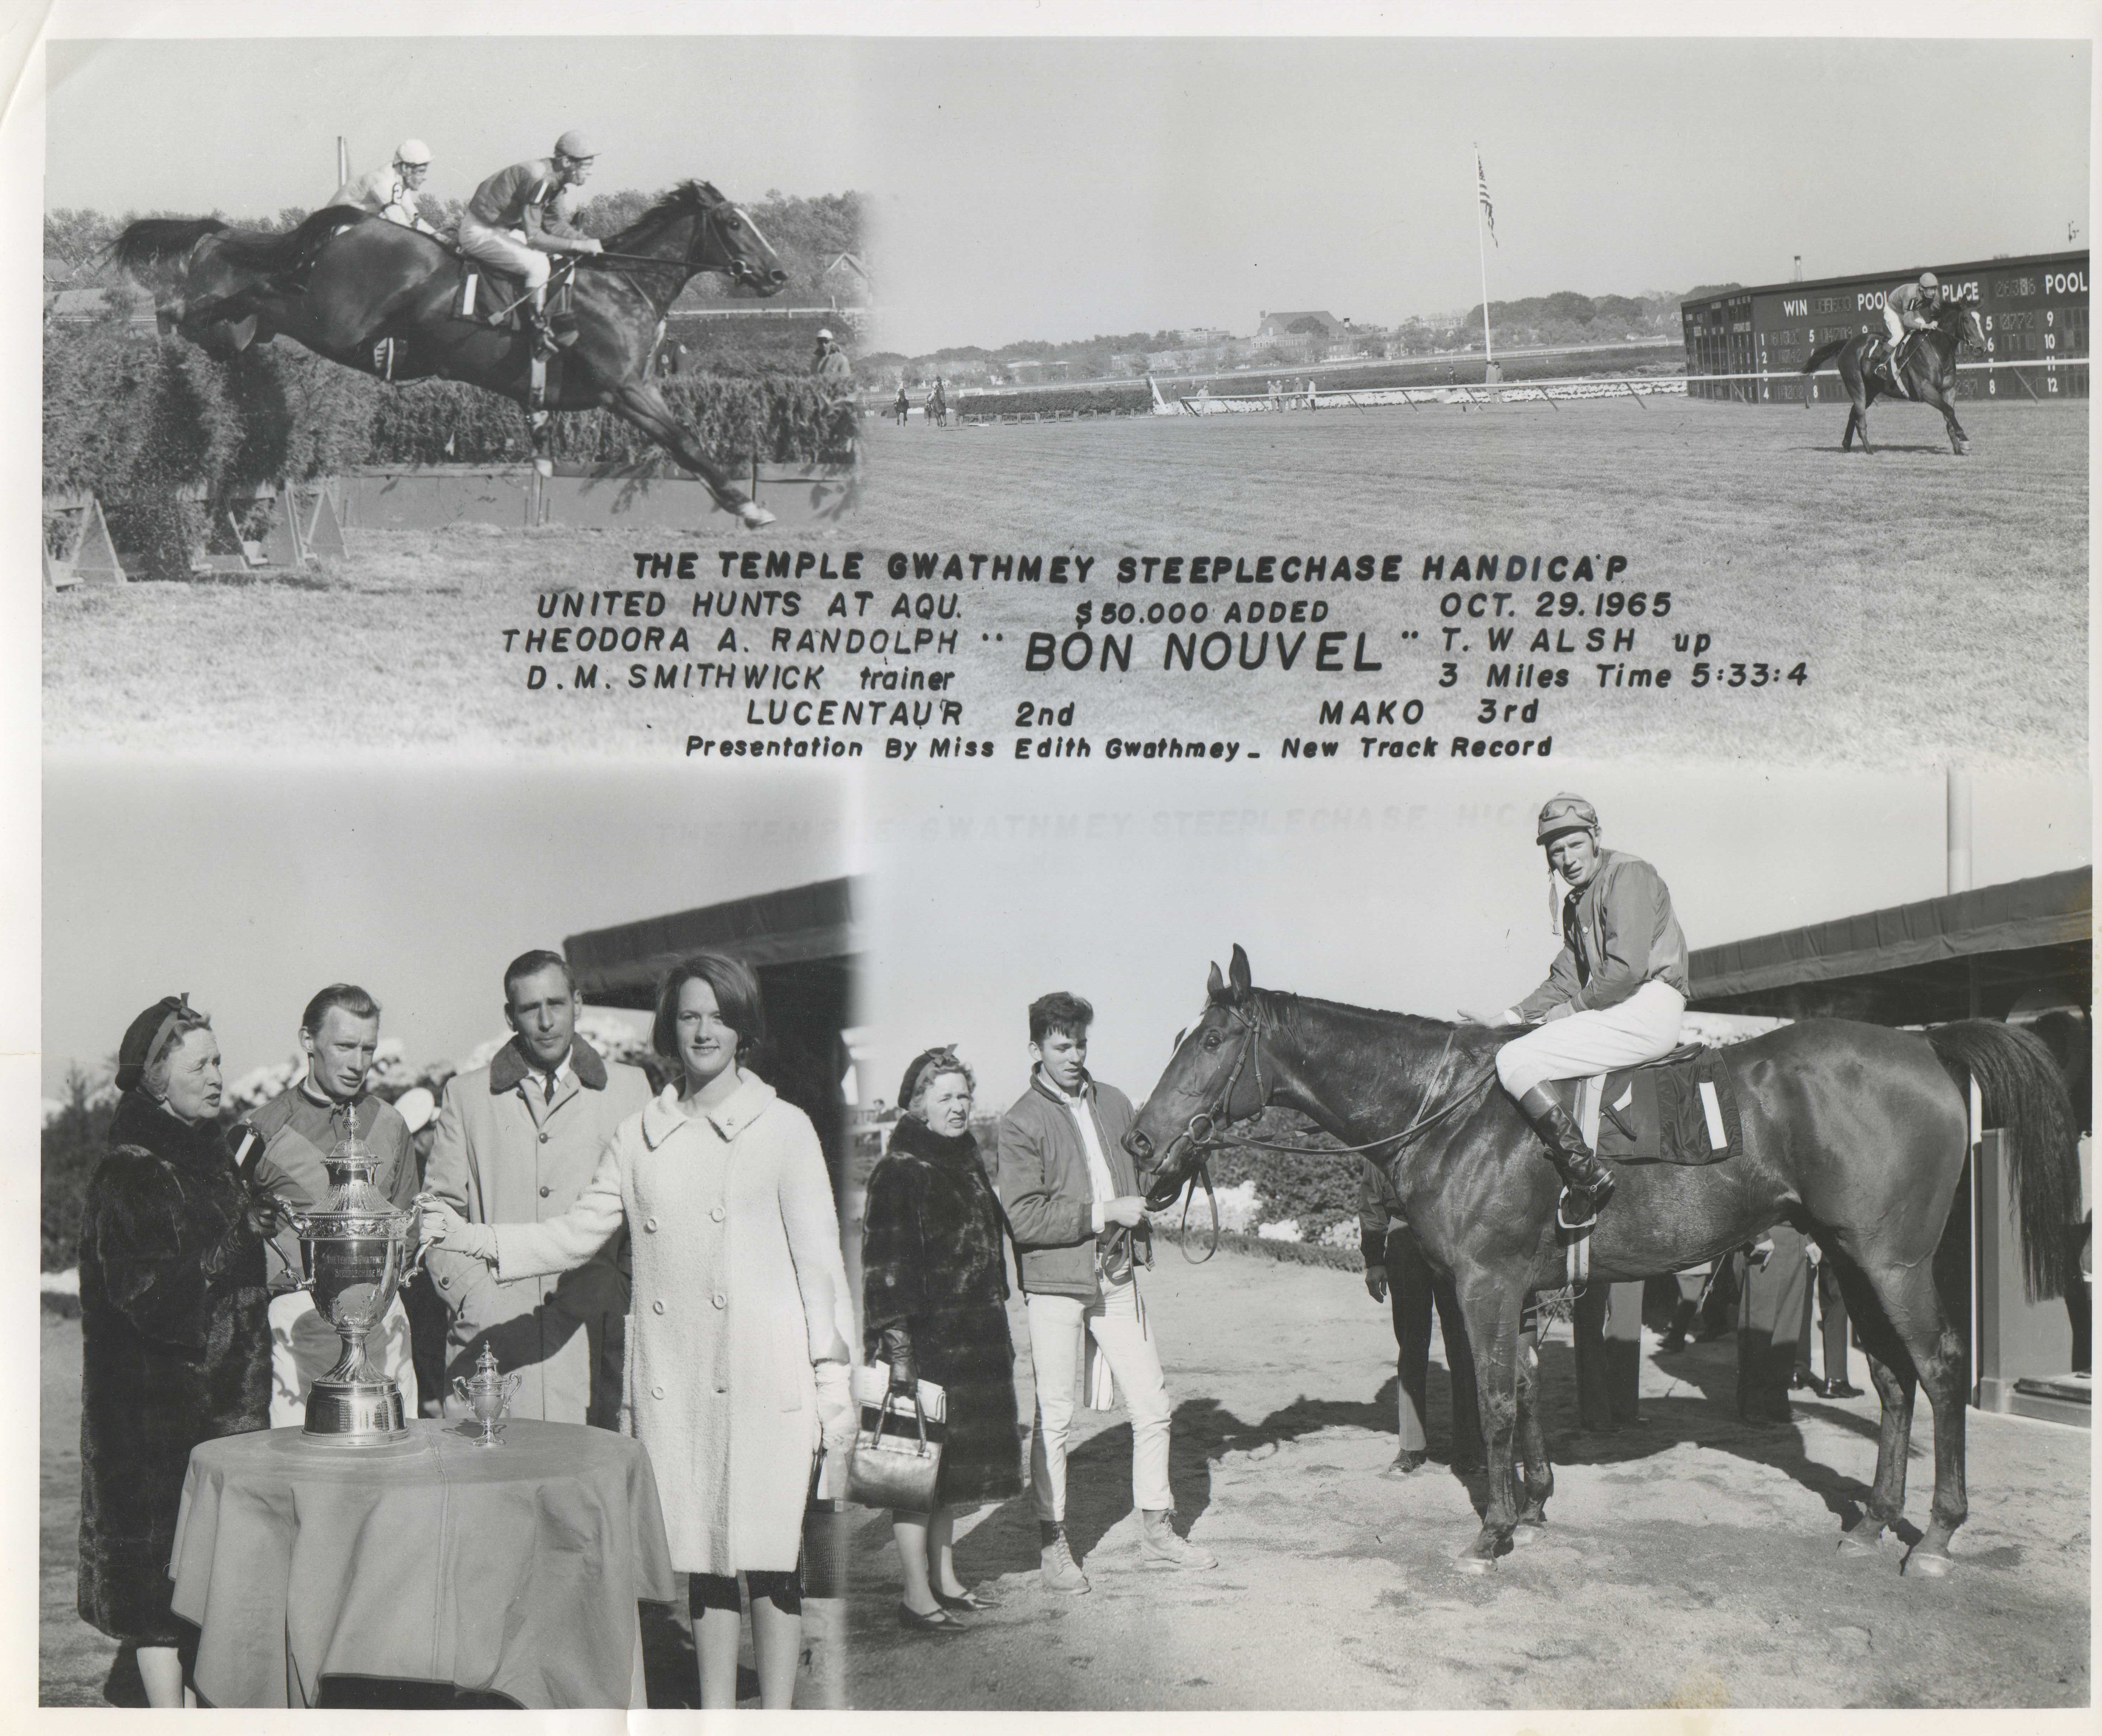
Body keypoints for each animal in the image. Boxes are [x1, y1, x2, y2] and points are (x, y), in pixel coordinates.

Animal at [115, 181, 790, 527]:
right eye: (734, 223)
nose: (778, 275)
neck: (623, 285)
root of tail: (353, 223)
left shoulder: (636, 389)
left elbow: (686, 438)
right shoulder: (624, 390)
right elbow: (687, 442)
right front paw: (749, 506)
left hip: (307, 326)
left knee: (246, 313)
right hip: (332, 321)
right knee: (251, 292)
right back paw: (171, 318)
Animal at [1127, 946, 2077, 1572]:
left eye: (1208, 1042)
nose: (1138, 1138)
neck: (1452, 1109)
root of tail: (1921, 1043)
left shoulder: (1482, 1285)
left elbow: (1493, 1401)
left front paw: (1494, 1529)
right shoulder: (1511, 1288)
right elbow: (1517, 1391)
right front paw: (1537, 1501)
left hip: (1894, 1262)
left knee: (1940, 1367)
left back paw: (1939, 1533)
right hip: (1851, 1259)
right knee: (1889, 1378)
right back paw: (1874, 1519)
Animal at [1808, 294, 1984, 454]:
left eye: (1980, 320)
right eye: (1966, 320)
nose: (1981, 348)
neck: (1937, 349)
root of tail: (1848, 343)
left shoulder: (1949, 390)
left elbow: (1949, 416)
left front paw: (1958, 450)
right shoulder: (1926, 390)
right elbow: (1949, 411)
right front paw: (1964, 439)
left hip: (1871, 391)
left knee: (1854, 413)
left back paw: (1847, 445)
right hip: (1857, 386)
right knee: (1860, 418)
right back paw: (1869, 450)